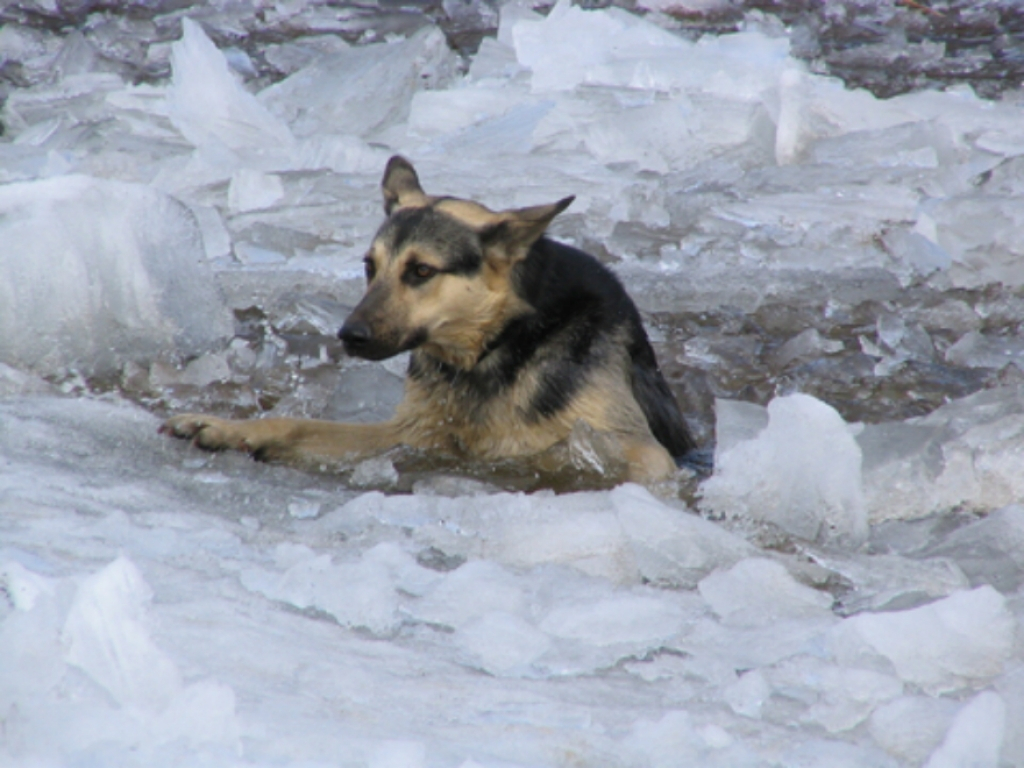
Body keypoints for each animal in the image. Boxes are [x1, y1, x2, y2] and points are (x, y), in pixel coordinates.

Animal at [161, 154, 696, 483]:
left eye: (421, 271)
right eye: (369, 267)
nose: (349, 336)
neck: (495, 349)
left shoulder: (644, 452)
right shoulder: (410, 434)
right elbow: (296, 424)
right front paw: (227, 427)